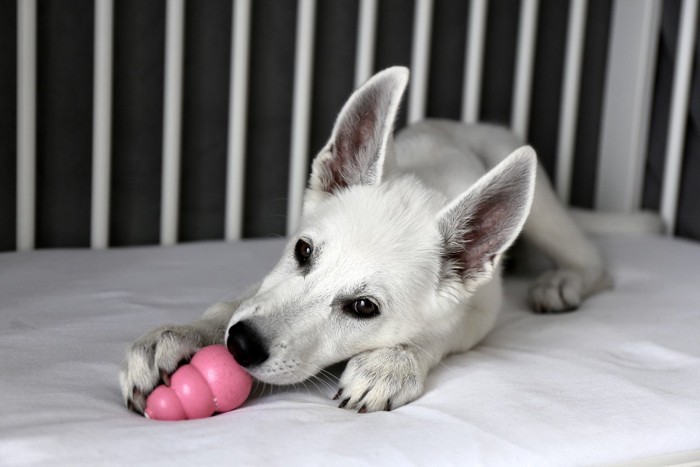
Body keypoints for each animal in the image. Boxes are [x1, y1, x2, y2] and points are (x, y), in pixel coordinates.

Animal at [121, 66, 612, 414]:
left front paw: (391, 364)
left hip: (544, 210)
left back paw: (561, 282)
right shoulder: (263, 287)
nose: (241, 345)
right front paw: (177, 335)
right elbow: (236, 301)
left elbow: (437, 334)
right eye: (302, 250)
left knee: (596, 263)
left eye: (363, 308)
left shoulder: (479, 312)